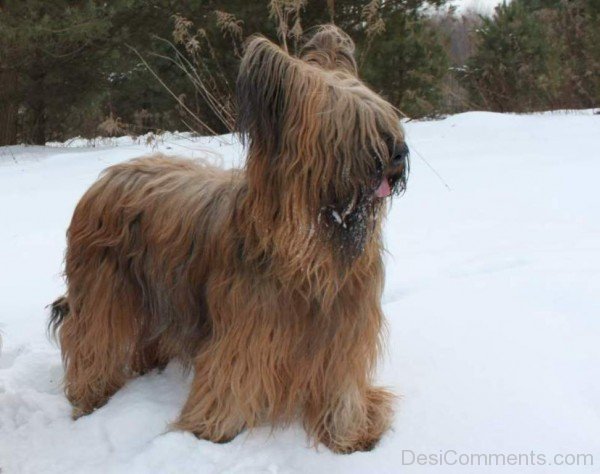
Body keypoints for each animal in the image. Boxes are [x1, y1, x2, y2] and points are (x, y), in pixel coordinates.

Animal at [50, 25, 408, 452]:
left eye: (385, 119)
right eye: (351, 126)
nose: (400, 153)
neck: (313, 245)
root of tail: (107, 176)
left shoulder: (344, 328)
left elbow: (341, 385)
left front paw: (349, 433)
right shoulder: (247, 325)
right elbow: (234, 374)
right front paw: (213, 430)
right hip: (104, 288)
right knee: (90, 339)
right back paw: (90, 396)